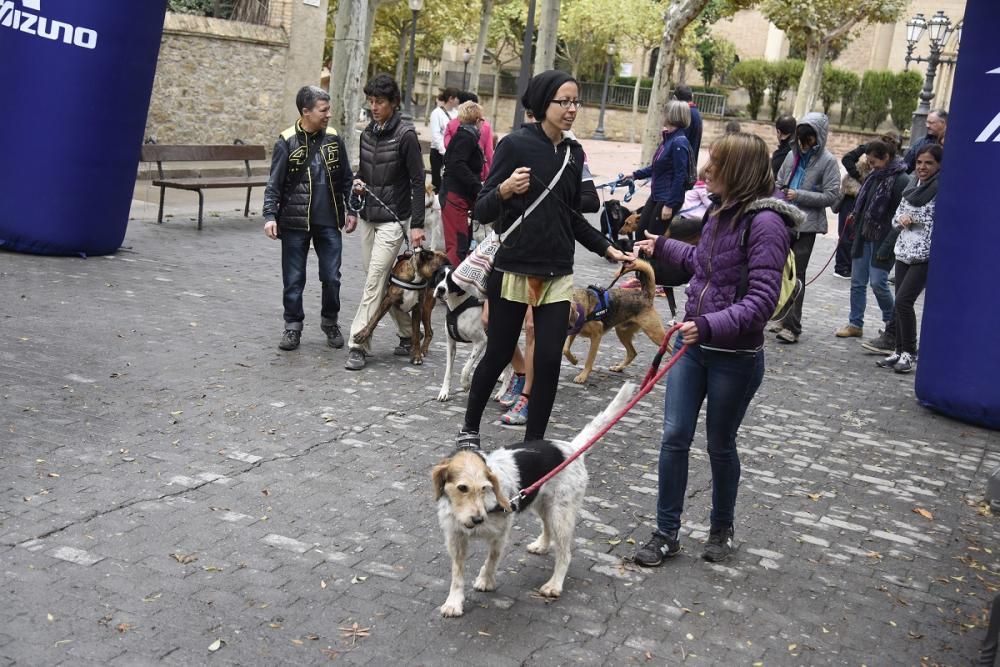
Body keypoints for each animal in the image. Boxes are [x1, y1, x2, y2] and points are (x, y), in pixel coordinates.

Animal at [430, 384, 632, 620]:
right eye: (462, 488)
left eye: (485, 488)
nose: (478, 519)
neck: (486, 506)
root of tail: (571, 449)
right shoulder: (456, 538)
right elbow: (457, 573)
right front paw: (454, 602)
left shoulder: (500, 534)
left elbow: (491, 560)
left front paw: (485, 580)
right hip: (543, 504)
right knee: (547, 529)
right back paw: (541, 545)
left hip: (561, 514)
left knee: (565, 554)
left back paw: (554, 585)